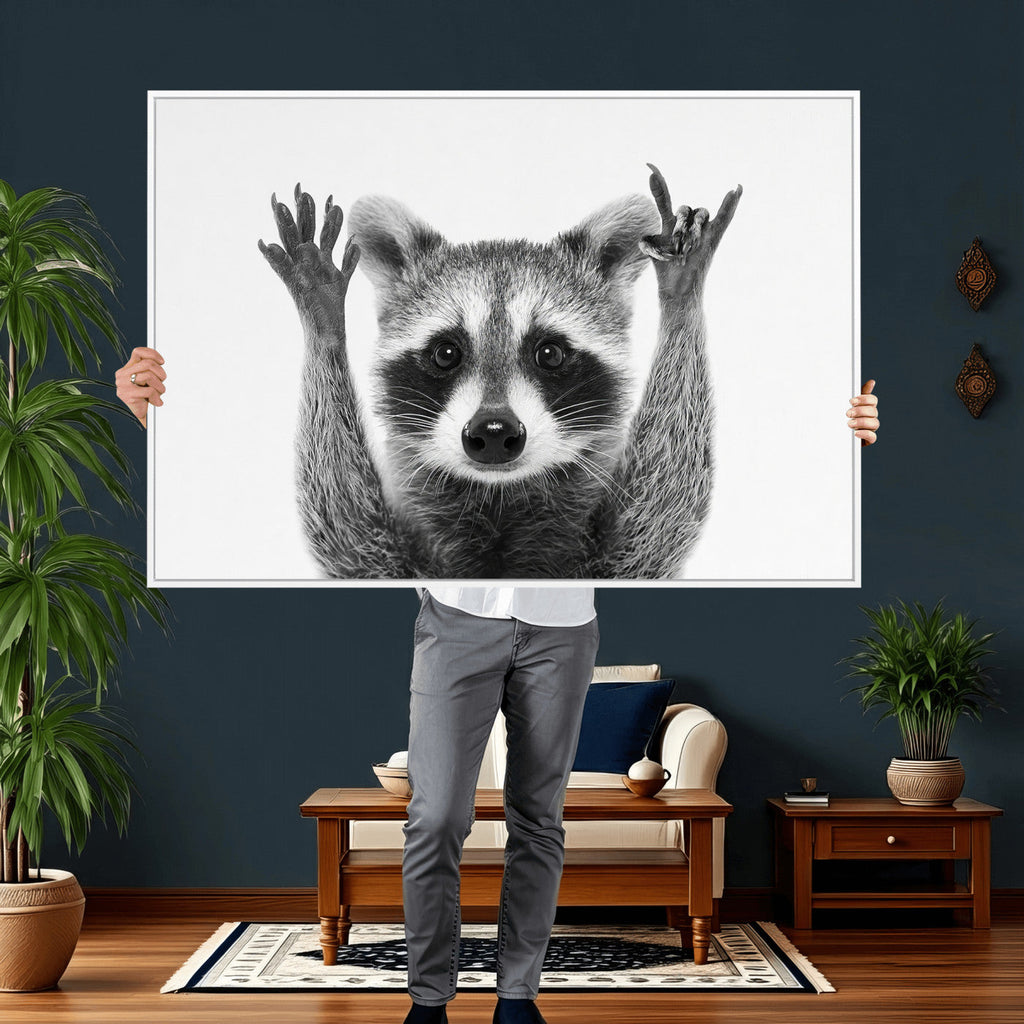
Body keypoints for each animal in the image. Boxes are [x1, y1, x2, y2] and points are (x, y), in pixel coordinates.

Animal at [259, 165, 741, 579]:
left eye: (550, 354)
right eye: (445, 353)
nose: (493, 432)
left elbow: (664, 505)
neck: (498, 499)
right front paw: (323, 320)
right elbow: (344, 528)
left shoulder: (622, 557)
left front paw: (681, 295)